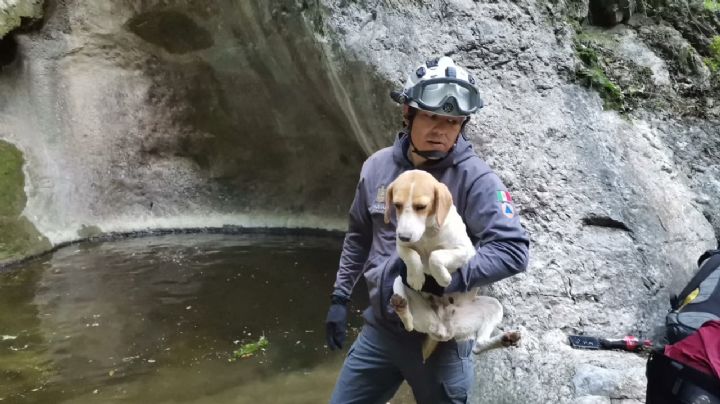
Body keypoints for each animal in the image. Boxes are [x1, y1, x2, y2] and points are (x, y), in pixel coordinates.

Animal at [382, 170, 516, 360]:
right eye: (397, 205)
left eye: (421, 207)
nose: (405, 236)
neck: (428, 232)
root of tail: (443, 330)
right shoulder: (400, 246)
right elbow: (412, 255)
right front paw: (416, 277)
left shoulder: (465, 251)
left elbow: (435, 256)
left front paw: (443, 278)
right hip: (399, 283)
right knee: (409, 325)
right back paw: (401, 306)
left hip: (494, 307)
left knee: (478, 346)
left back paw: (506, 339)